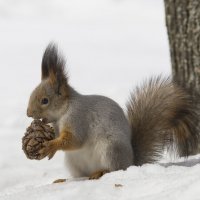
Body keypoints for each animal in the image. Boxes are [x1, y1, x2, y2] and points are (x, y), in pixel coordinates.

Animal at [27, 42, 200, 181]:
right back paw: (65, 180)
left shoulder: (78, 118)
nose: (28, 113)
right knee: (81, 176)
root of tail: (131, 162)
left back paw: (100, 172)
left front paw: (50, 146)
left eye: (45, 101)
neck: (64, 111)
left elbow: (75, 140)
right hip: (73, 162)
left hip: (111, 149)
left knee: (114, 169)